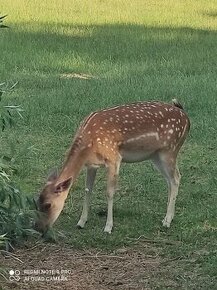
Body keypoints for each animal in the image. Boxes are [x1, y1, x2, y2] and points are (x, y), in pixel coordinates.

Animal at [35, 99, 190, 233]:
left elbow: (109, 192)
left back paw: (167, 221)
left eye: (48, 204)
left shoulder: (114, 158)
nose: (39, 228)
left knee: (176, 178)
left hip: (169, 150)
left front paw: (108, 227)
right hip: (156, 156)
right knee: (170, 181)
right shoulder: (91, 165)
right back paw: (168, 217)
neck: (88, 145)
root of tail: (186, 118)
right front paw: (81, 222)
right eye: (37, 201)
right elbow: (88, 190)